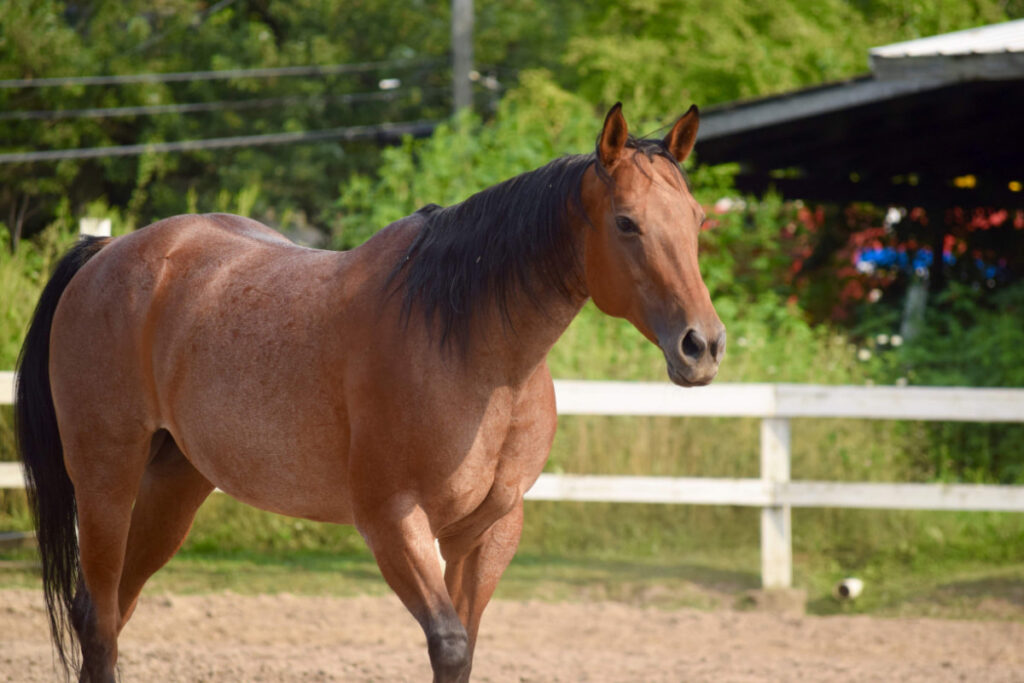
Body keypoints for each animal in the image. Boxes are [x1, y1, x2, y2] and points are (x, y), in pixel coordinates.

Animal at [18, 102, 729, 683]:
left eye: (696, 219)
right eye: (627, 223)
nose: (703, 345)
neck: (474, 353)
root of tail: (109, 251)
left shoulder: (490, 529)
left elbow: (468, 645)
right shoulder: (393, 520)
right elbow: (449, 646)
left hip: (174, 485)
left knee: (115, 610)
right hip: (106, 478)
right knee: (98, 620)